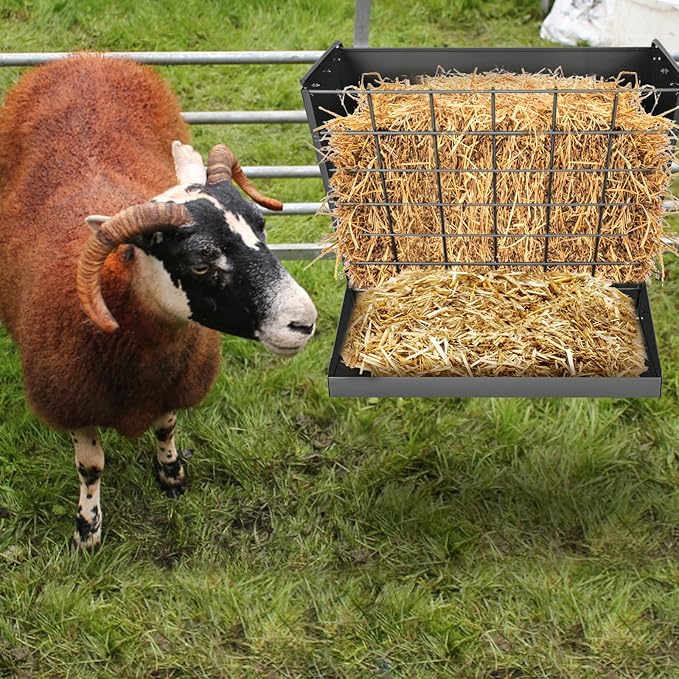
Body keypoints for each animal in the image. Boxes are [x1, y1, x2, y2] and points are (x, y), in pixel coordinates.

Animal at [0, 54, 317, 548]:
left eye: (261, 227)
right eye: (201, 262)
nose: (304, 322)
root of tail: (84, 57)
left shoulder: (176, 380)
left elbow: (167, 426)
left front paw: (171, 475)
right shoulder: (73, 402)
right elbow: (90, 467)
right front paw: (87, 529)